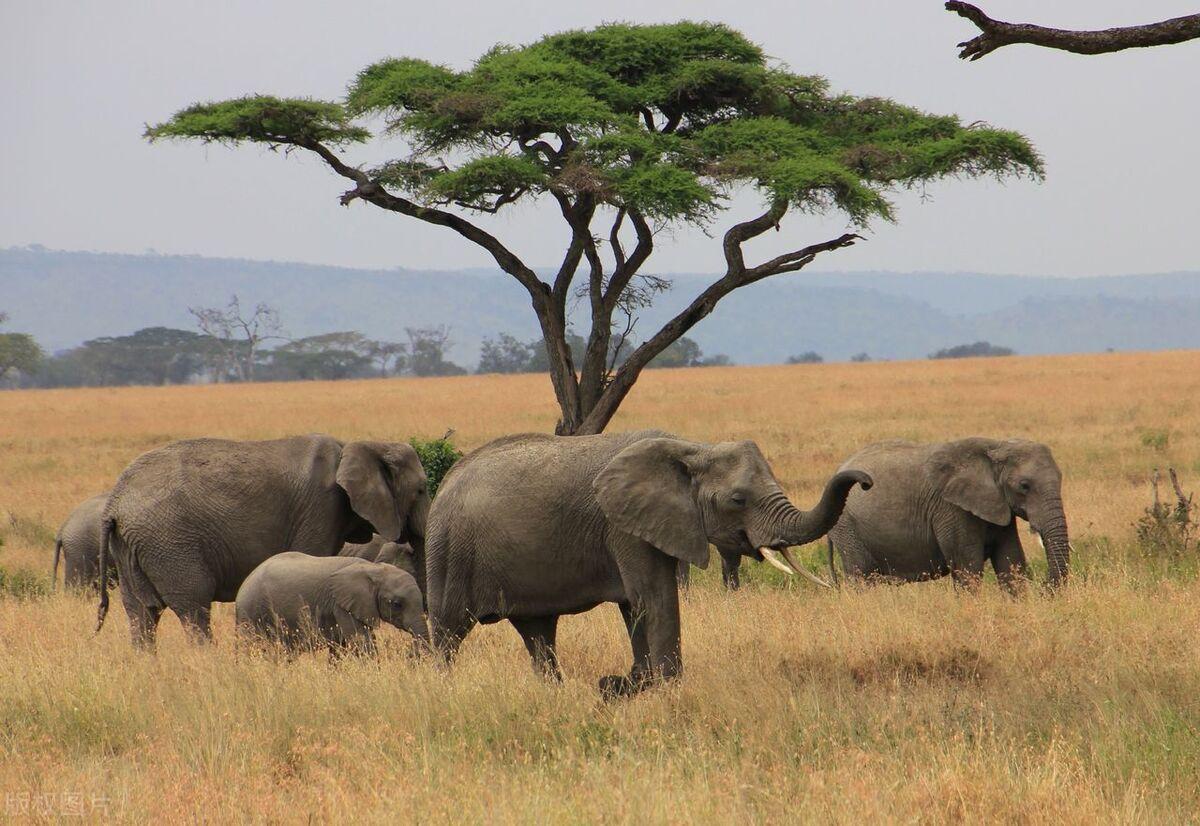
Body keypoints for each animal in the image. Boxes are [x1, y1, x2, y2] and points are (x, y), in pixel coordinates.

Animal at [236, 552, 429, 653]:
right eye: (396, 604)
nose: (410, 652)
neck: (373, 568)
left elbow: (339, 647)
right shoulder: (342, 605)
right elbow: (361, 641)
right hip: (251, 612)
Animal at [424, 432, 873, 696]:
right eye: (738, 500)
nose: (866, 481)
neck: (692, 449)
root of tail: (444, 483)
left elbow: (635, 606)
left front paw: (632, 684)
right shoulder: (622, 525)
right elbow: (653, 598)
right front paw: (664, 690)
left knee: (538, 633)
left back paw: (554, 693)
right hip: (449, 551)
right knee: (448, 632)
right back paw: (441, 690)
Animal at [825, 434, 1070, 590]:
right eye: (1024, 486)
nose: (1044, 585)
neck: (996, 445)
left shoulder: (998, 505)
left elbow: (1010, 561)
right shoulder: (951, 509)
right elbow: (968, 568)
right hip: (847, 526)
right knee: (861, 575)